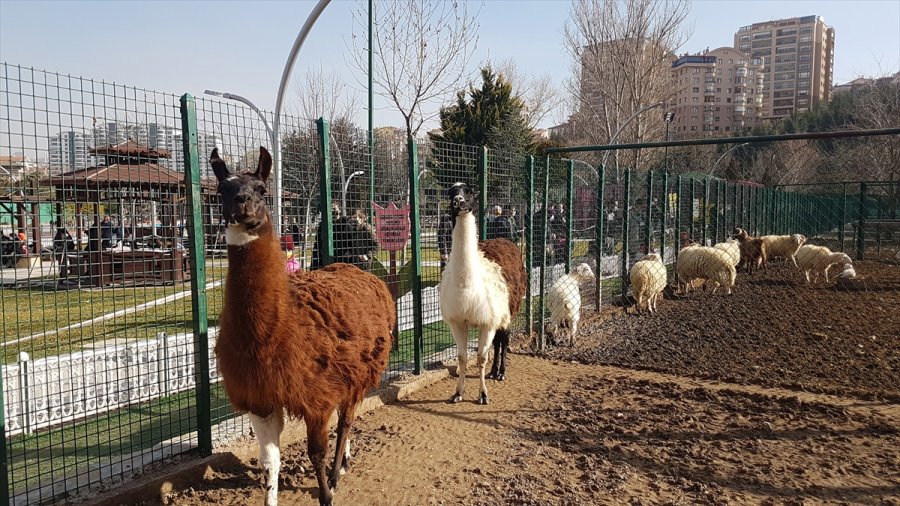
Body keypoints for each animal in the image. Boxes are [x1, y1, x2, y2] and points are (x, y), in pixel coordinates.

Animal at [210, 148, 395, 506]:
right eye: (221, 190)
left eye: (261, 189)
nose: (241, 203)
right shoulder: (260, 399)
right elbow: (270, 462)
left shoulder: (315, 396)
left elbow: (316, 452)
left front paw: (326, 494)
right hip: (349, 372)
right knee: (346, 417)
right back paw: (345, 461)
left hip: (363, 368)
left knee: (347, 419)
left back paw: (337, 473)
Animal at [439, 182, 526, 402]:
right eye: (451, 192)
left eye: (468, 192)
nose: (458, 201)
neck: (467, 289)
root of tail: (505, 240)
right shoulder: (457, 322)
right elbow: (462, 358)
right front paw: (458, 393)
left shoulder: (487, 321)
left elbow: (480, 357)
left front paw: (483, 395)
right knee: (497, 341)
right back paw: (494, 372)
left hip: (509, 308)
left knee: (504, 338)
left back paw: (501, 372)